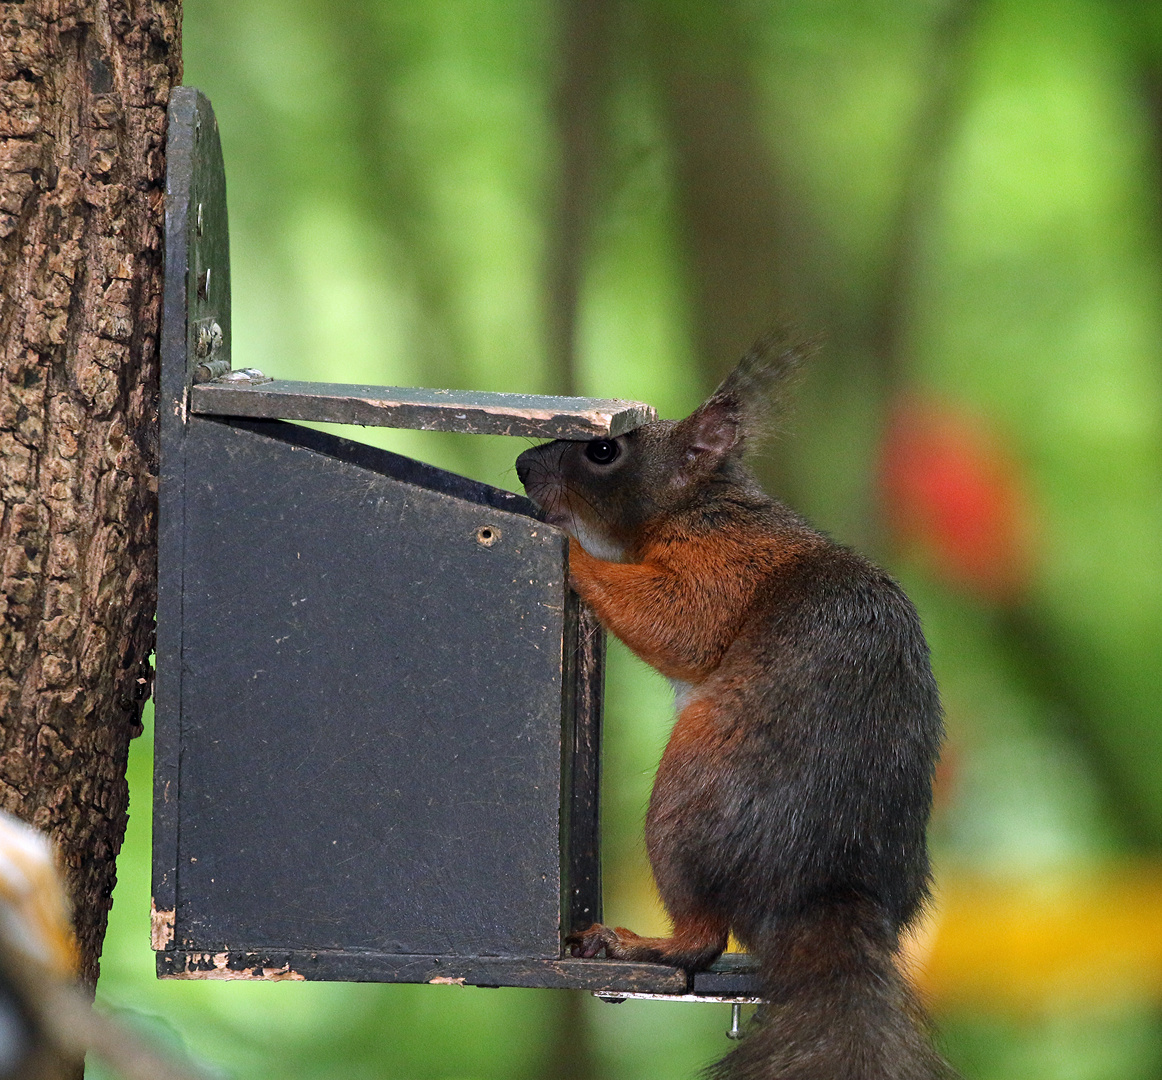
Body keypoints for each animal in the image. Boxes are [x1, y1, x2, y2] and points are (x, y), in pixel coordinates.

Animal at [515, 332, 952, 1074]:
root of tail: (824, 890)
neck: (698, 504)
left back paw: (639, 943)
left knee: (703, 938)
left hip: (684, 810)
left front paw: (574, 551)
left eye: (603, 450)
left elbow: (679, 625)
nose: (519, 465)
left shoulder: (721, 567)